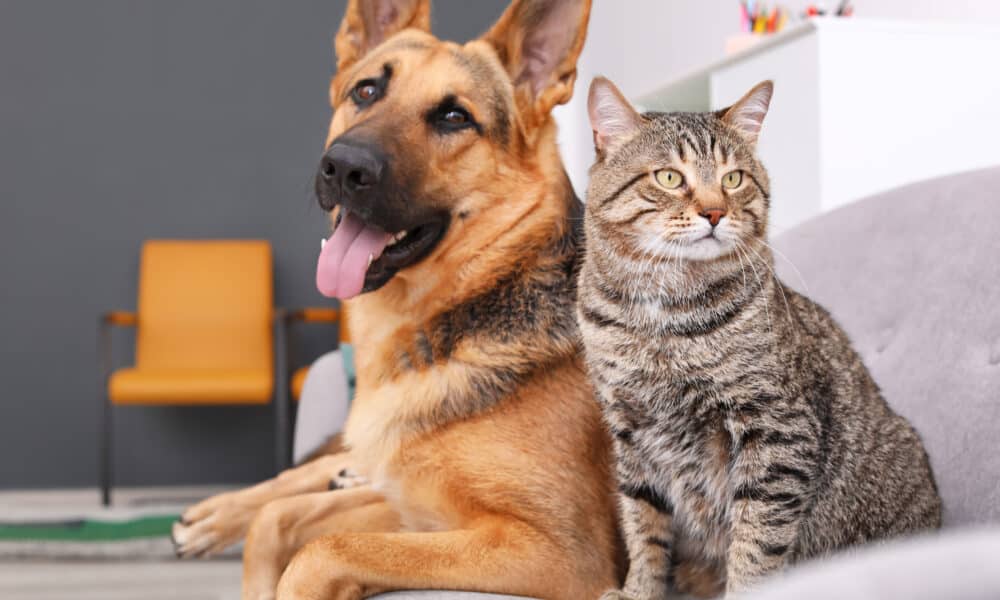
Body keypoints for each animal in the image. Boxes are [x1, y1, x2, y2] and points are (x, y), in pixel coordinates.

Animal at [175, 0, 620, 596]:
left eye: (454, 117)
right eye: (366, 91)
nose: (344, 167)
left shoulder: (560, 554)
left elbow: (321, 549)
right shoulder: (415, 507)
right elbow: (278, 523)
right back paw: (213, 515)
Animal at [580, 76, 944, 600]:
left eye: (733, 179)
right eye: (669, 178)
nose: (714, 212)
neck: (661, 319)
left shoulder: (776, 431)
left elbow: (755, 542)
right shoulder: (631, 436)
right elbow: (643, 529)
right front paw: (636, 592)